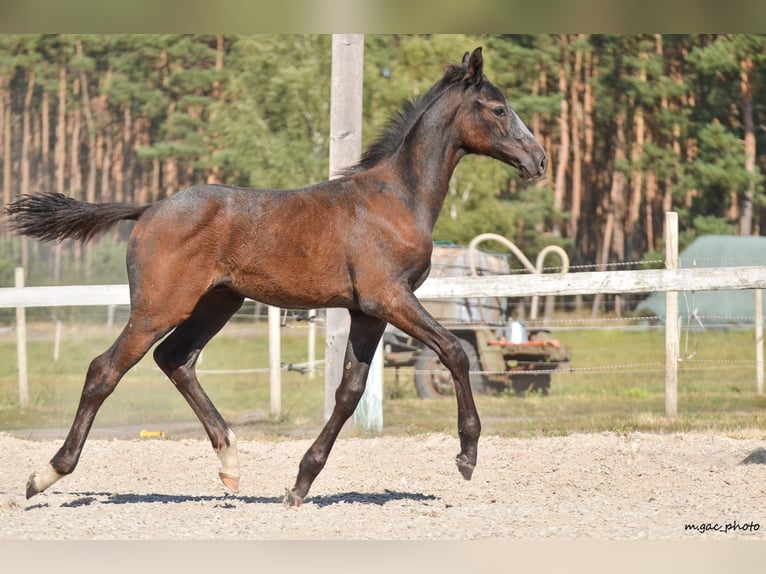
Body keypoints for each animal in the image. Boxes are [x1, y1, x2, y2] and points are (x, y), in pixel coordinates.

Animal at [4, 47, 546, 506]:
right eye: (498, 109)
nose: (538, 160)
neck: (395, 199)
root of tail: (150, 208)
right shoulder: (390, 297)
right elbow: (455, 351)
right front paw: (467, 455)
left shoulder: (367, 311)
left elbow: (350, 391)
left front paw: (301, 483)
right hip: (160, 306)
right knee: (105, 370)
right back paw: (44, 475)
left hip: (217, 302)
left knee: (175, 359)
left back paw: (231, 464)